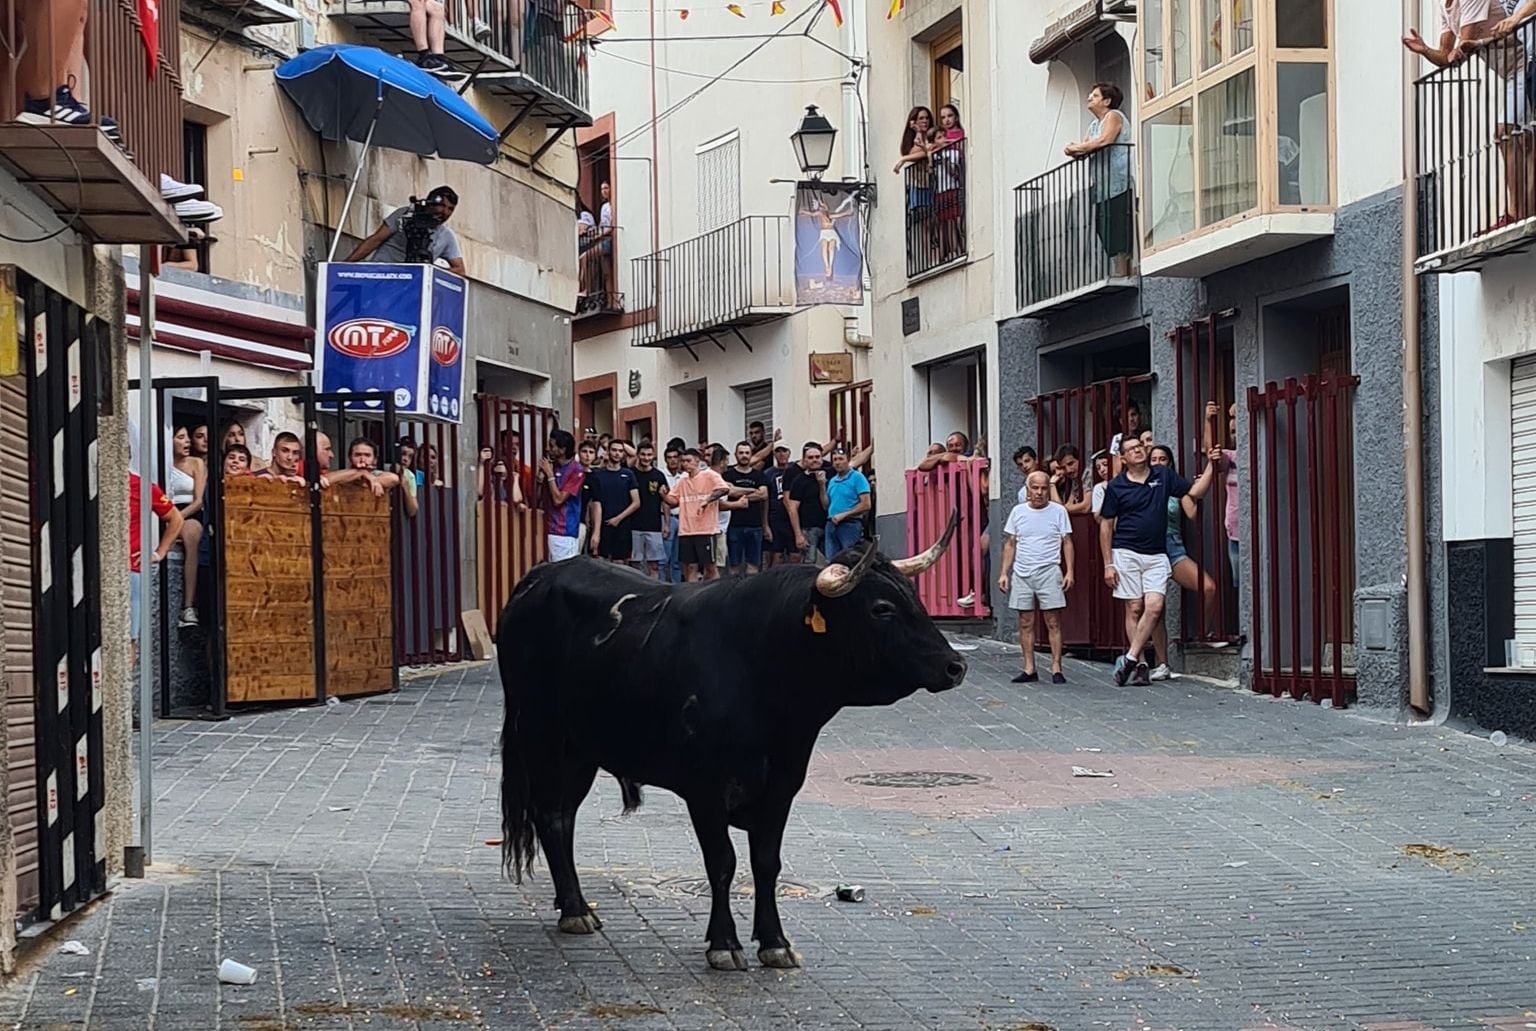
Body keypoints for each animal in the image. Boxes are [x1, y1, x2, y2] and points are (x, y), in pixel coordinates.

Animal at [497, 528, 964, 971]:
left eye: (914, 598)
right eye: (881, 608)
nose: (954, 666)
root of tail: (540, 576)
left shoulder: (781, 787)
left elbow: (766, 863)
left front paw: (775, 943)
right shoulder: (705, 790)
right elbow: (722, 863)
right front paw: (724, 945)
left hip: (580, 750)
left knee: (564, 817)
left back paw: (574, 904)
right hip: (541, 734)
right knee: (550, 815)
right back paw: (575, 910)